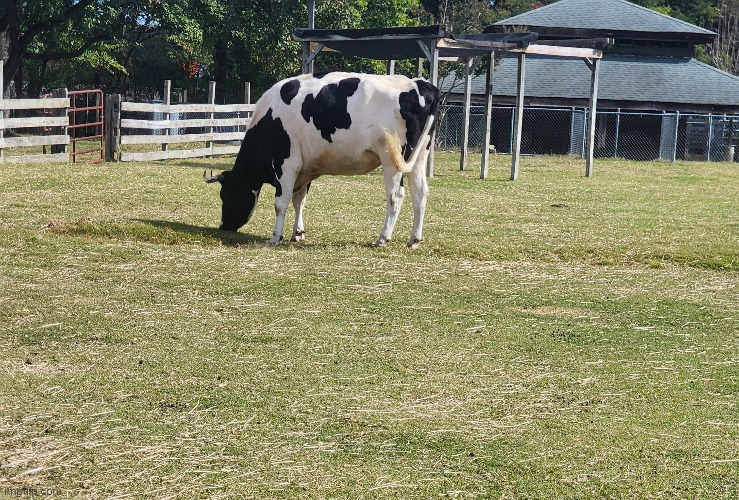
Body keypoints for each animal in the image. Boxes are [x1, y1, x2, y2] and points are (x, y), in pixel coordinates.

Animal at [204, 71, 439, 248]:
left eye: (226, 194)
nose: (223, 225)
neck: (270, 117)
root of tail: (420, 84)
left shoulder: (287, 164)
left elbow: (281, 203)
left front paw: (276, 236)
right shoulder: (305, 168)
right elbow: (299, 201)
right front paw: (297, 233)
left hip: (392, 159)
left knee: (395, 196)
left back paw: (383, 238)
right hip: (419, 157)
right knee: (420, 193)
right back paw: (414, 240)